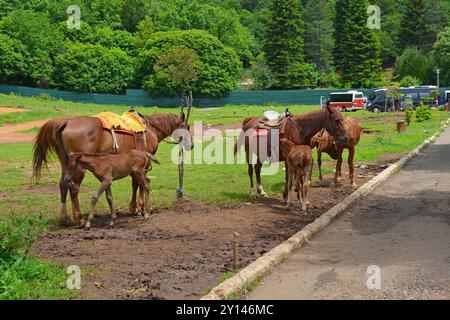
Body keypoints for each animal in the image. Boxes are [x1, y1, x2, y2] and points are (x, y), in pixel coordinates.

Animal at [32, 112, 192, 225]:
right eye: (188, 127)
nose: (191, 145)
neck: (150, 129)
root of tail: (67, 122)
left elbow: (137, 184)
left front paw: (137, 207)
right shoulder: (143, 165)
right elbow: (139, 184)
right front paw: (140, 208)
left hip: (66, 164)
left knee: (63, 185)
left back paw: (65, 218)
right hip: (78, 167)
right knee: (74, 188)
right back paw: (79, 218)